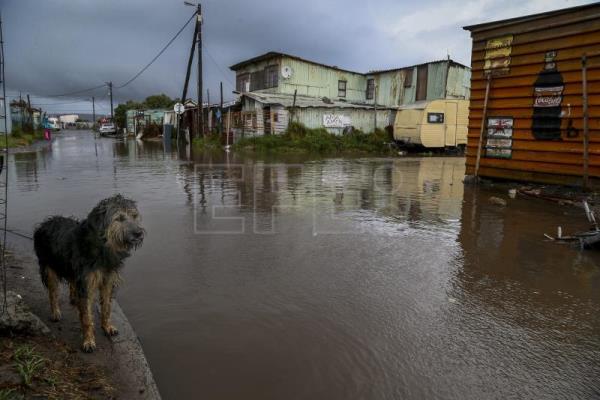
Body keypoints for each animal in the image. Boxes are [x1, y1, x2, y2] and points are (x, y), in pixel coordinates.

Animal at [32, 195, 144, 352]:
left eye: (134, 216)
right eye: (119, 218)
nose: (138, 233)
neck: (102, 246)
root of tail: (44, 223)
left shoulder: (107, 279)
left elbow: (106, 306)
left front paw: (107, 327)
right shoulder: (86, 282)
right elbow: (86, 316)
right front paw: (88, 341)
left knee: (72, 282)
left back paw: (74, 298)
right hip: (48, 267)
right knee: (52, 293)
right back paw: (55, 312)